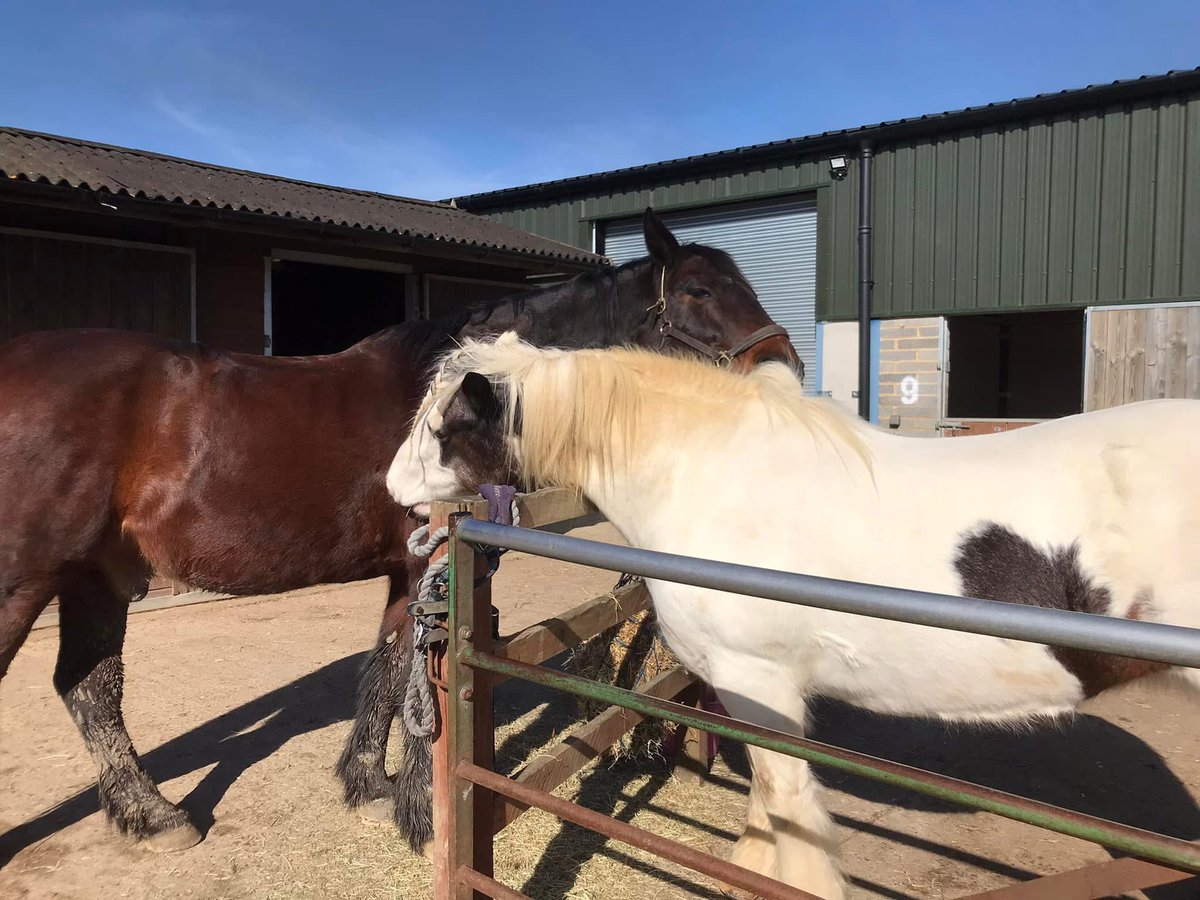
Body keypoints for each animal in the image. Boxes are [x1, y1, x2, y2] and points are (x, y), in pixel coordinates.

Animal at [0, 209, 800, 856]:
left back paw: (154, 816)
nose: (783, 366)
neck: (457, 396)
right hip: (26, 583)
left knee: (89, 689)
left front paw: (367, 785)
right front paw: (421, 814)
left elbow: (388, 671)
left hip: (95, 576)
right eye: (698, 292)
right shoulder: (430, 564)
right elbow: (425, 673)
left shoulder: (402, 569)